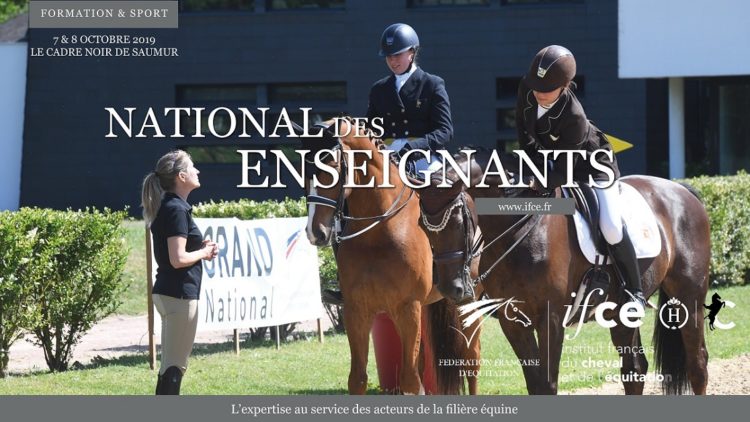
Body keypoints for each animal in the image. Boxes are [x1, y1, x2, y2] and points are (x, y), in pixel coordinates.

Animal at [302, 117, 482, 394]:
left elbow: (409, 381)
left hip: (466, 300)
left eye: (331, 166)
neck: (379, 231)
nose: (315, 232)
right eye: (302, 169)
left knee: (471, 360)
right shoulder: (357, 310)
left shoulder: (408, 308)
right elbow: (358, 378)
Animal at [424, 152, 712, 396]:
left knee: (697, 364)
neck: (518, 228)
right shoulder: (512, 320)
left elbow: (548, 384)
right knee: (635, 369)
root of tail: (681, 189)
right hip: (620, 313)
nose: (450, 288)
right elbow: (535, 384)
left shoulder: (550, 318)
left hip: (688, 298)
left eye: (458, 221)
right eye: (423, 227)